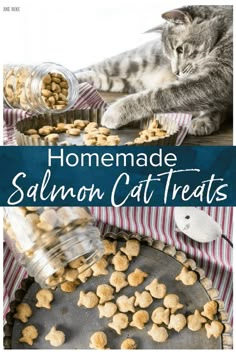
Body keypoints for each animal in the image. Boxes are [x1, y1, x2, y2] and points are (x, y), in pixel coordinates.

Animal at [75, 5, 232, 136]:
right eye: (169, 55)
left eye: (180, 49)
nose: (175, 72)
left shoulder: (217, 79)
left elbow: (156, 94)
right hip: (125, 63)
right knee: (92, 69)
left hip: (129, 82)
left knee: (101, 78)